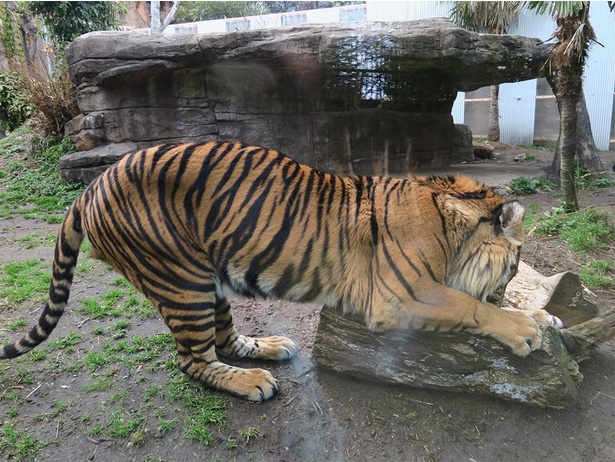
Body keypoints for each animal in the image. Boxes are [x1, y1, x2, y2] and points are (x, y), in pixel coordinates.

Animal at [0, 141, 564, 400]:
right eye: (515, 264)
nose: (509, 284)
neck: (452, 229)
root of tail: (89, 187)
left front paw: (546, 318)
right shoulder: (398, 295)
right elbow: (467, 304)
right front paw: (523, 328)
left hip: (210, 279)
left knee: (224, 337)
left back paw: (269, 348)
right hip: (181, 280)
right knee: (192, 358)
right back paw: (252, 382)